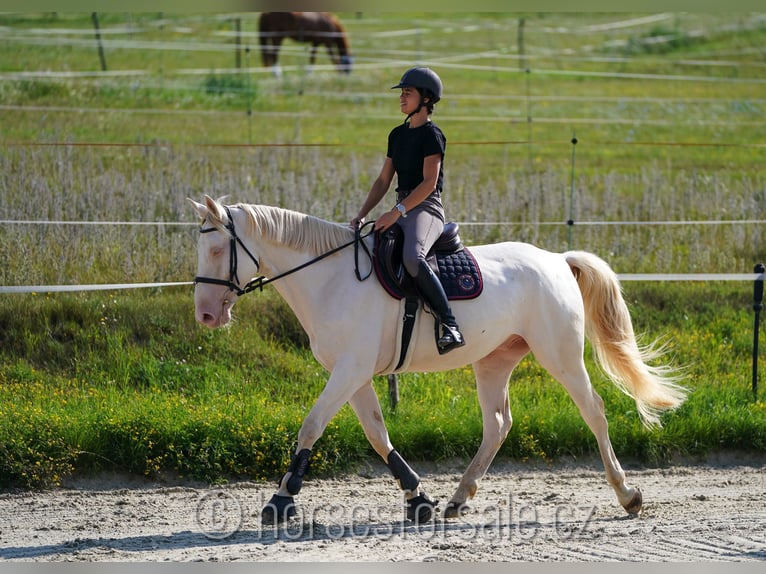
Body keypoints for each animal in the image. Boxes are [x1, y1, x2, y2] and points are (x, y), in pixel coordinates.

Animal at [192, 198, 688, 528]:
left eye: (217, 250)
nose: (206, 315)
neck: (330, 279)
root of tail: (557, 260)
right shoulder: (354, 375)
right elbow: (378, 435)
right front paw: (418, 499)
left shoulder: (350, 371)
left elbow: (311, 426)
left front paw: (281, 500)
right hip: (493, 363)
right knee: (498, 424)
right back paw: (457, 499)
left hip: (560, 355)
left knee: (594, 411)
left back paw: (628, 495)